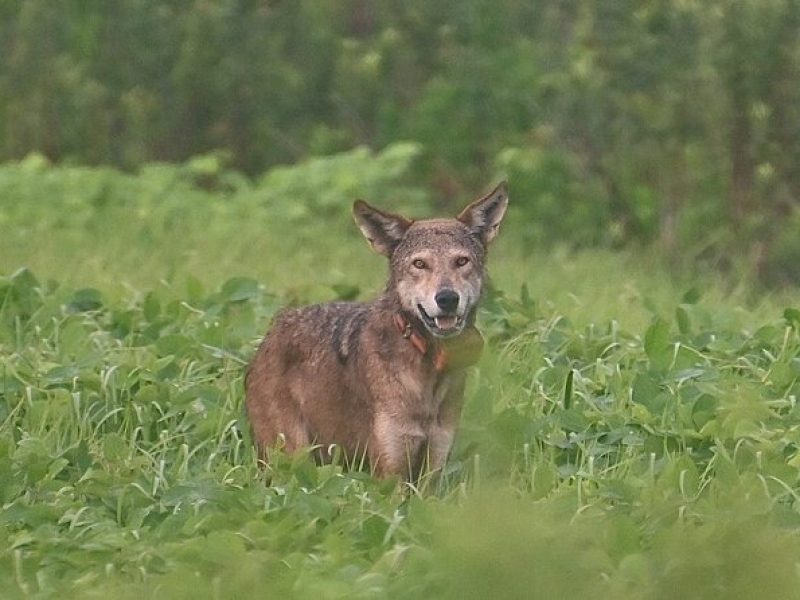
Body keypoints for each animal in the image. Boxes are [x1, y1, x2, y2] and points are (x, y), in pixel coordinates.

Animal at [245, 180, 506, 480]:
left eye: (462, 261)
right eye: (419, 264)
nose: (447, 298)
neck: (428, 369)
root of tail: (274, 327)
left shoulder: (433, 470)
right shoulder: (389, 474)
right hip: (292, 460)